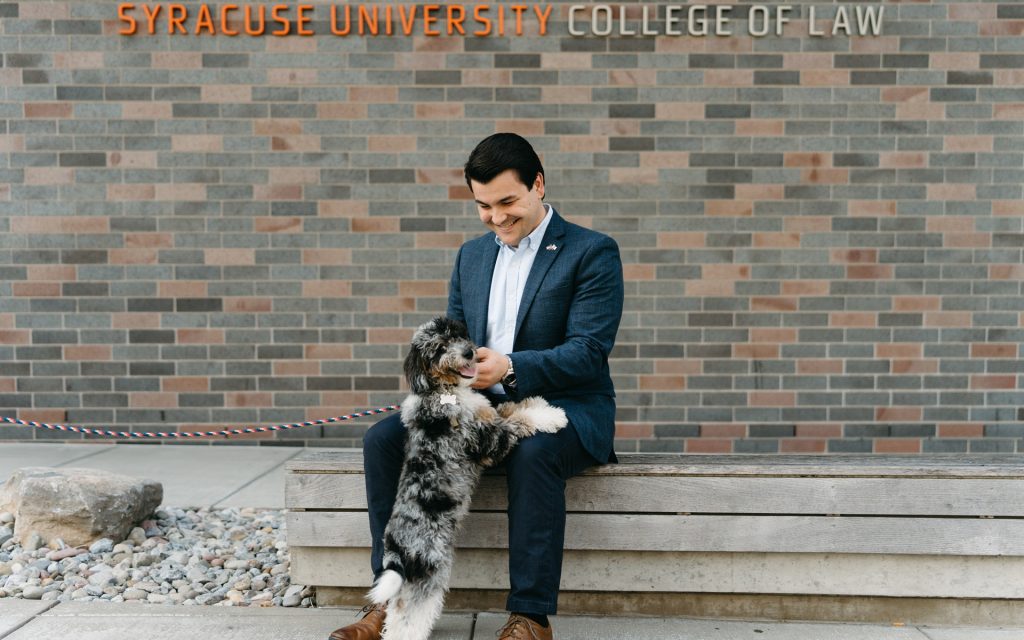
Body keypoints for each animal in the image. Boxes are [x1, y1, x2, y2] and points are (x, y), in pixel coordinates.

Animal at [368, 315, 569, 638]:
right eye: (439, 348)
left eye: (457, 334)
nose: (468, 353)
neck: (442, 390)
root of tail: (397, 549)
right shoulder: (491, 440)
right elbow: (518, 420)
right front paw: (553, 416)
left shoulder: (489, 415)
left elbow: (511, 406)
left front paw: (539, 402)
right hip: (430, 570)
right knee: (410, 616)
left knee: (397, 611)